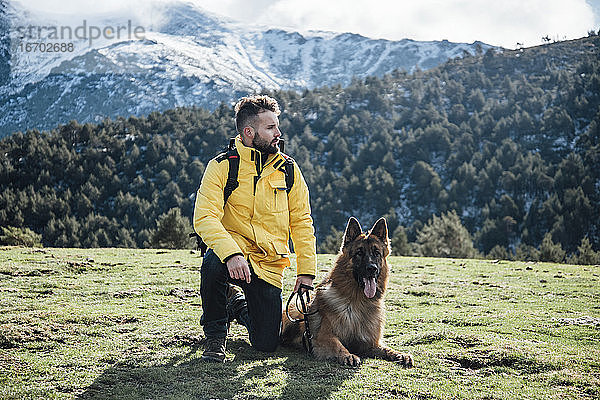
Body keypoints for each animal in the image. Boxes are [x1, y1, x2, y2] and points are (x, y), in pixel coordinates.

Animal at [282, 217, 412, 368]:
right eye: (359, 253)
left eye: (377, 253)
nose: (372, 268)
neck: (358, 302)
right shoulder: (323, 337)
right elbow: (337, 345)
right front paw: (348, 355)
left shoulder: (370, 344)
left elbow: (387, 349)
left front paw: (400, 354)